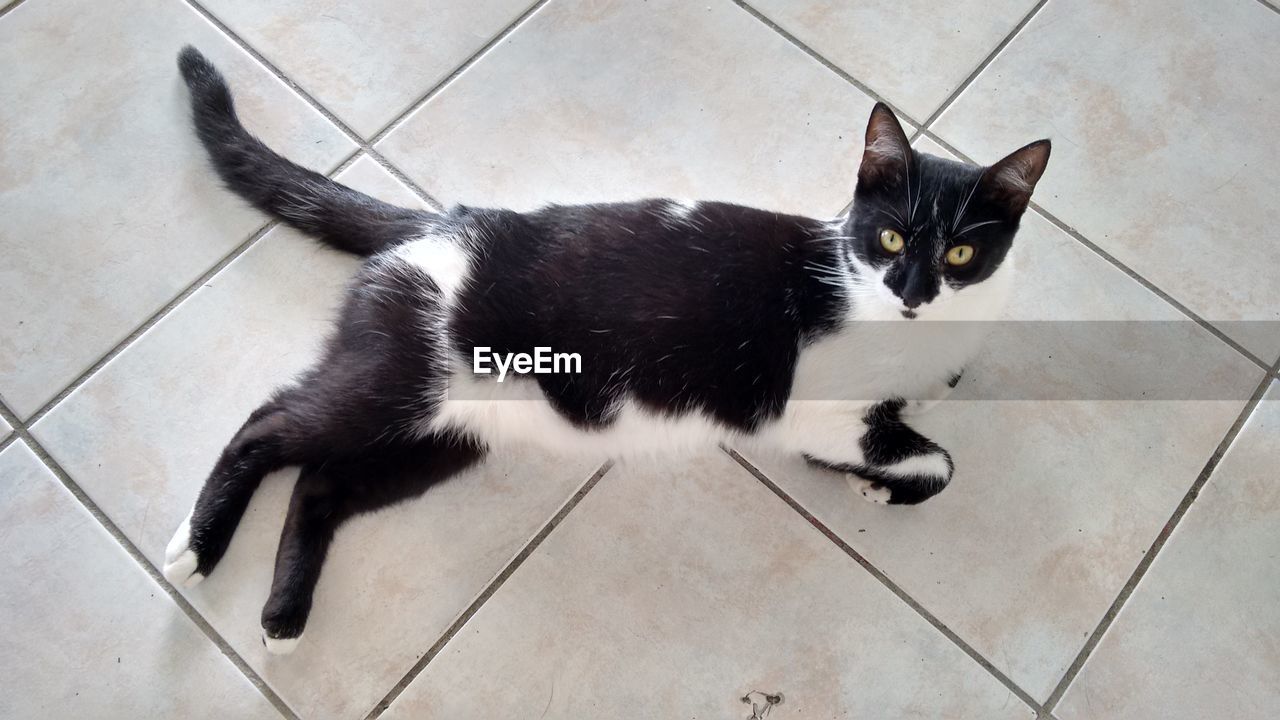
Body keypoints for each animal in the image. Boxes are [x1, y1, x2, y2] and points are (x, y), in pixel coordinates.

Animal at [162, 44, 1049, 650]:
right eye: (891, 236)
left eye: (961, 253)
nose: (914, 292)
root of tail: (442, 219)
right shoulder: (818, 407)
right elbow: (940, 462)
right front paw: (882, 483)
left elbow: (921, 429)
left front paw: (874, 474)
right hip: (394, 382)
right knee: (271, 428)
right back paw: (199, 550)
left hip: (449, 435)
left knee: (321, 485)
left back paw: (282, 613)